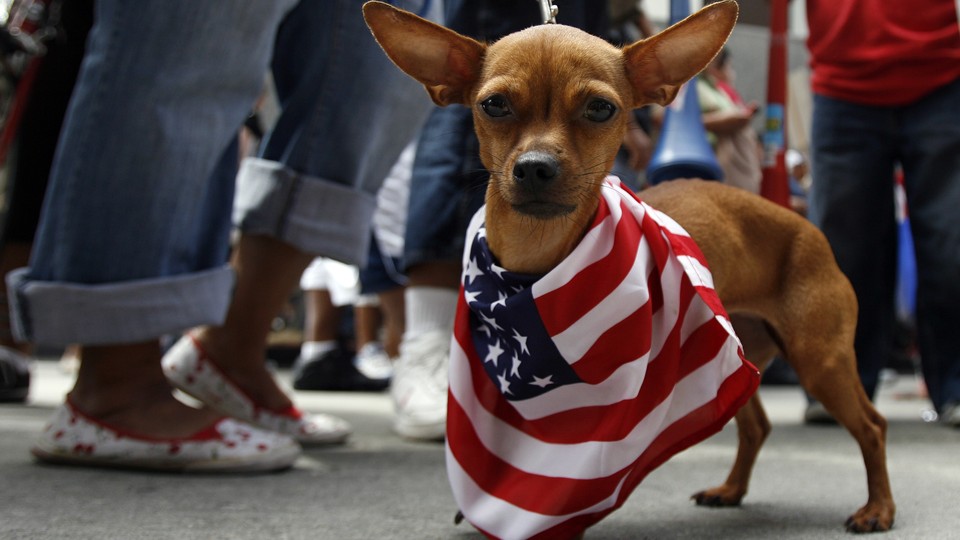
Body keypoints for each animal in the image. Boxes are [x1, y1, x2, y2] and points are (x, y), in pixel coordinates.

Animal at [364, 0, 896, 532]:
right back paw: (731, 490)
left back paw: (878, 509)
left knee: (872, 425)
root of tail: (805, 226)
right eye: (493, 104)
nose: (534, 167)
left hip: (820, 360)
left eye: (601, 108)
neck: (534, 263)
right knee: (757, 426)